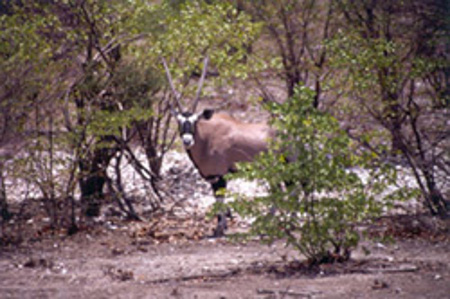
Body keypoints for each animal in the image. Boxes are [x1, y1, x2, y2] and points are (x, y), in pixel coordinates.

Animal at [163, 57, 274, 238]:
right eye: (179, 121)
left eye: (195, 121)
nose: (187, 140)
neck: (206, 138)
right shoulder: (213, 177)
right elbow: (218, 201)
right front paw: (221, 227)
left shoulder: (220, 176)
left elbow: (220, 201)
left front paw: (219, 229)